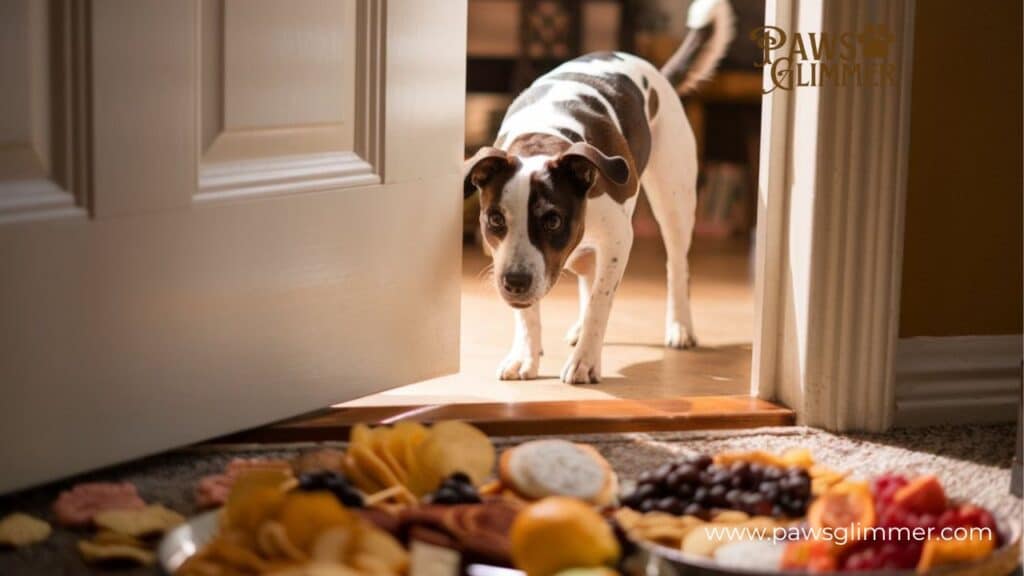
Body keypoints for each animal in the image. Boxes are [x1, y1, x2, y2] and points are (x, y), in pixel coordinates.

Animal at [464, 2, 737, 383]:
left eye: (552, 220)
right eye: (495, 220)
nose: (515, 282)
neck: (543, 139)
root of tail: (657, 73)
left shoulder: (619, 239)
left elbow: (600, 302)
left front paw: (585, 361)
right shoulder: (505, 254)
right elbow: (529, 313)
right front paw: (525, 354)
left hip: (675, 203)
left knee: (676, 265)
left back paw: (680, 327)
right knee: (588, 276)